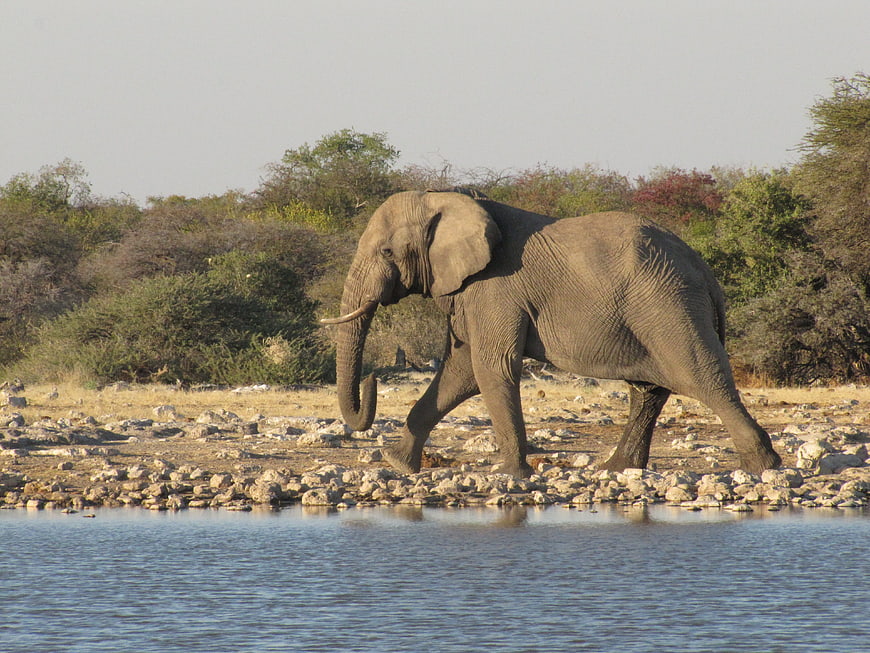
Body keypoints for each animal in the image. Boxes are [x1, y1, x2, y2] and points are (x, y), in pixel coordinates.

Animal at [322, 189, 782, 477]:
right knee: (650, 389)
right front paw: (396, 463)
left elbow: (490, 367)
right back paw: (616, 469)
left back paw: (763, 467)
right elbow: (461, 371)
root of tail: (706, 272)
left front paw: (511, 475)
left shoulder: (496, 288)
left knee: (701, 377)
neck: (448, 198)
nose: (372, 377)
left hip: (667, 303)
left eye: (386, 251)